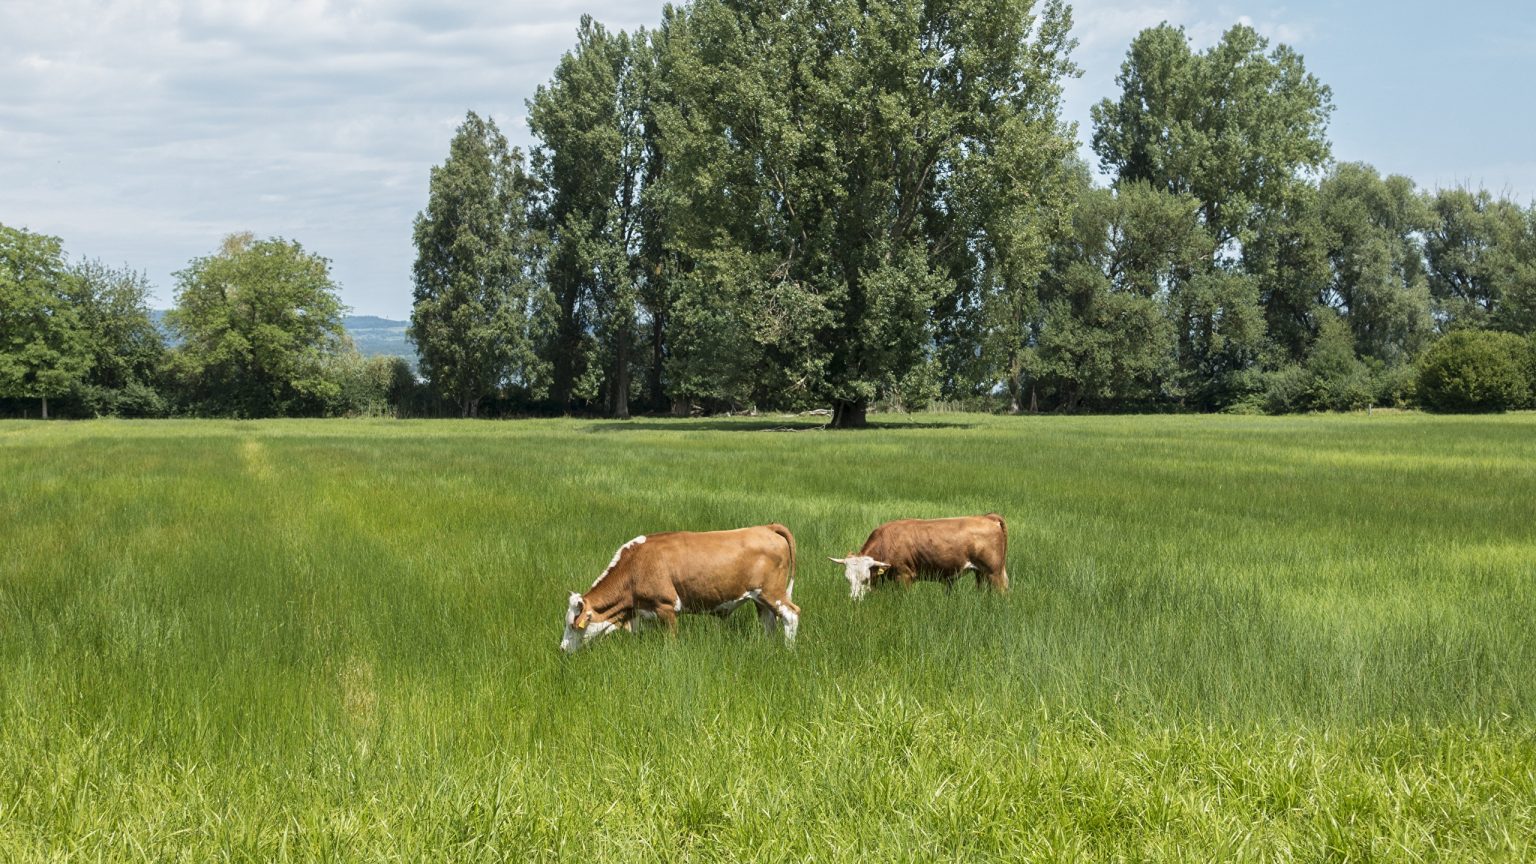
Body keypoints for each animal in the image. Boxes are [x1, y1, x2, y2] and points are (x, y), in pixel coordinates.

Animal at [565, 522, 804, 648]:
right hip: (760, 599)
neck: (634, 565)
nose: (562, 649)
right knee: (769, 622)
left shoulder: (666, 606)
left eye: (572, 625)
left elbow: (671, 641)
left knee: (791, 615)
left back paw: (788, 650)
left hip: (773, 593)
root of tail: (767, 527)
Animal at [829, 510, 1007, 599]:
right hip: (981, 573)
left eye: (865, 579)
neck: (886, 541)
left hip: (994, 573)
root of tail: (988, 518)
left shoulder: (904, 576)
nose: (854, 600)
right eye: (847, 579)